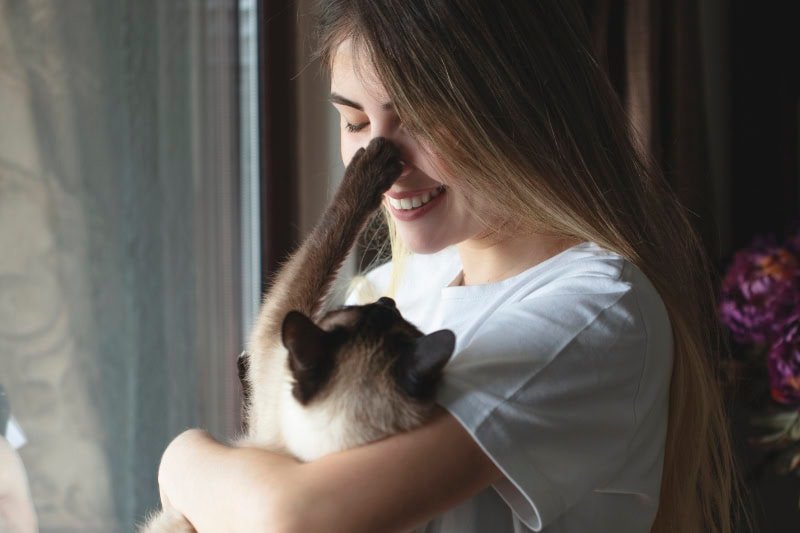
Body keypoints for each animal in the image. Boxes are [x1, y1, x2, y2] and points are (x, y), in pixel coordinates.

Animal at [141, 138, 456, 532]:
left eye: (344, 315)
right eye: (381, 312)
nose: (387, 301)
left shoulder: (277, 327)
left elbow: (321, 247)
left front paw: (373, 161)